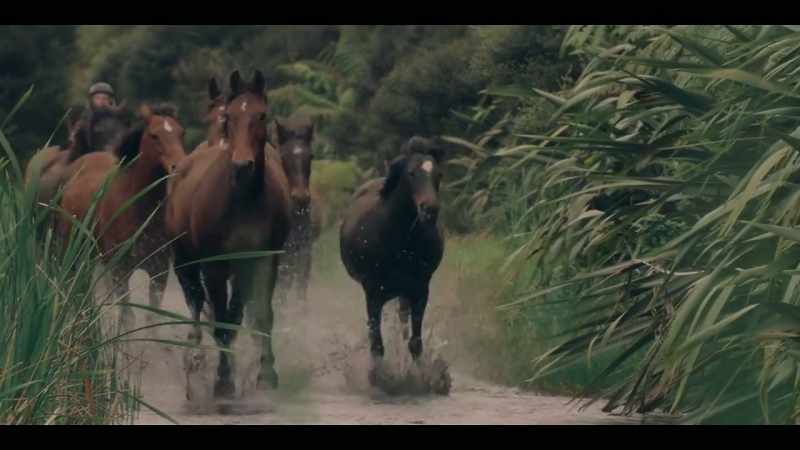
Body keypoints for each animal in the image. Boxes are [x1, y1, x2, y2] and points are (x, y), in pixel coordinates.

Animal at [56, 103, 186, 331]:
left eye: (181, 133)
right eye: (154, 135)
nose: (178, 165)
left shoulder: (159, 271)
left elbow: (152, 319)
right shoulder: (119, 270)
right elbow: (127, 317)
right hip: (72, 253)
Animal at [165, 69, 291, 399]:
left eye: (262, 115)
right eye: (229, 117)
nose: (242, 164)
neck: (244, 200)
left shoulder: (262, 260)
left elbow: (259, 315)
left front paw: (266, 375)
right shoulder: (215, 265)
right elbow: (221, 321)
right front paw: (223, 380)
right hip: (184, 260)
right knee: (196, 301)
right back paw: (194, 358)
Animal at [339, 136, 446, 386]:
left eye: (438, 174)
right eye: (411, 173)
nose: (430, 210)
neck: (401, 242)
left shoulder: (420, 289)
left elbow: (415, 342)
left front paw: (423, 378)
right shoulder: (373, 292)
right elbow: (376, 344)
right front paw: (380, 377)